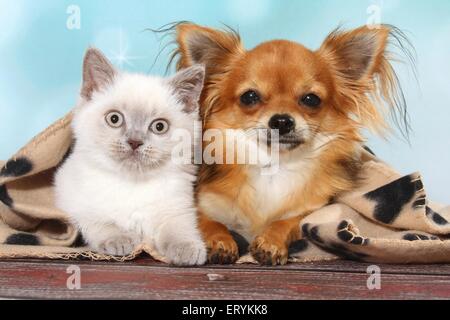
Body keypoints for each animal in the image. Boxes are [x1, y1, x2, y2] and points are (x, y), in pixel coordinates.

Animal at [55, 47, 207, 266]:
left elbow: (178, 227)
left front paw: (187, 248)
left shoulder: (178, 207)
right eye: (114, 119)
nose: (135, 142)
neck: (132, 183)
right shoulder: (73, 202)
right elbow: (100, 220)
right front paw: (119, 239)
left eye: (159, 126)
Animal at [171, 23, 410, 264]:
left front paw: (270, 242)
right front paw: (219, 241)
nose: (282, 121)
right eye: (249, 97)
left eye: (311, 99)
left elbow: (287, 222)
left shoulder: (313, 210)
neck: (275, 165)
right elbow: (209, 221)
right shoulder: (200, 203)